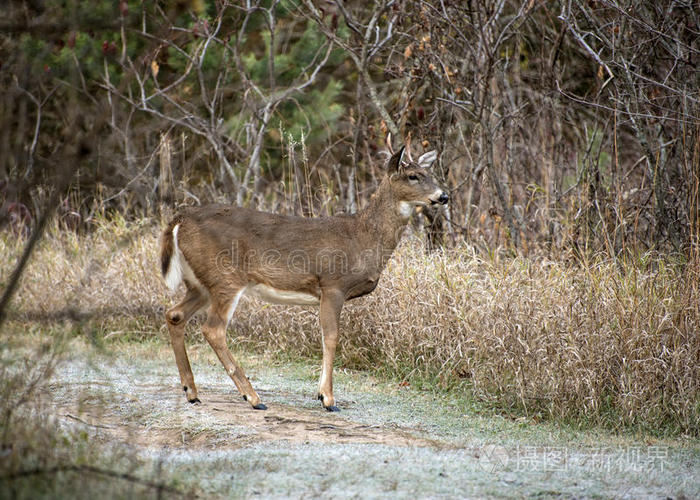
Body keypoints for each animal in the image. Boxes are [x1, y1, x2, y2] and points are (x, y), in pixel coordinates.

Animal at [159, 144, 448, 410]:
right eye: (412, 176)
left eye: (430, 173)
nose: (443, 196)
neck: (363, 237)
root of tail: (180, 220)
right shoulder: (332, 284)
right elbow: (331, 337)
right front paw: (328, 398)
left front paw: (321, 393)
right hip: (225, 278)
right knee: (213, 329)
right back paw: (252, 397)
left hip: (200, 283)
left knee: (175, 314)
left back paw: (192, 392)